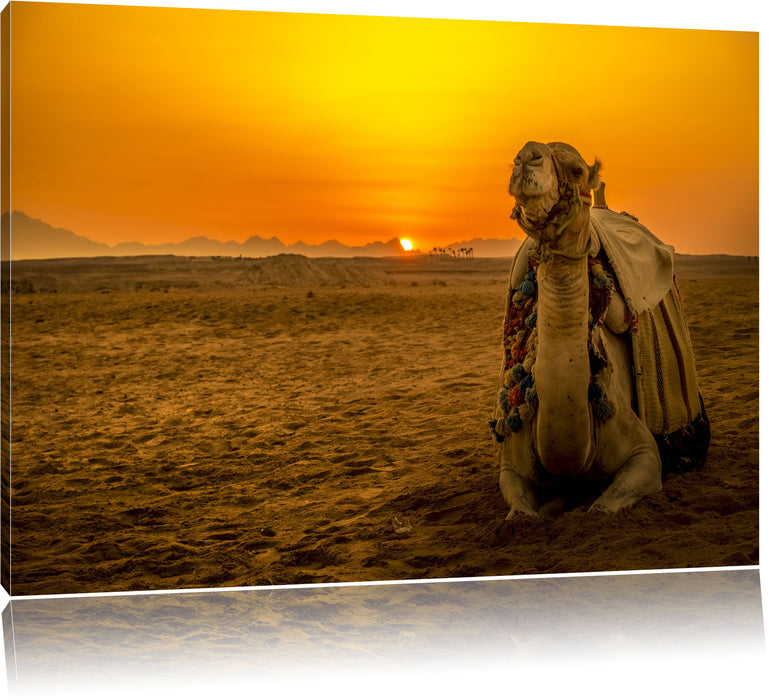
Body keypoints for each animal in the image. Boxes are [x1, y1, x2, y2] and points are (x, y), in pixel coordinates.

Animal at [492, 140, 707, 519]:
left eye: (577, 170)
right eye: (519, 157)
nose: (527, 156)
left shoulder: (644, 454)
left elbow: (601, 510)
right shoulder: (511, 466)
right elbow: (520, 514)